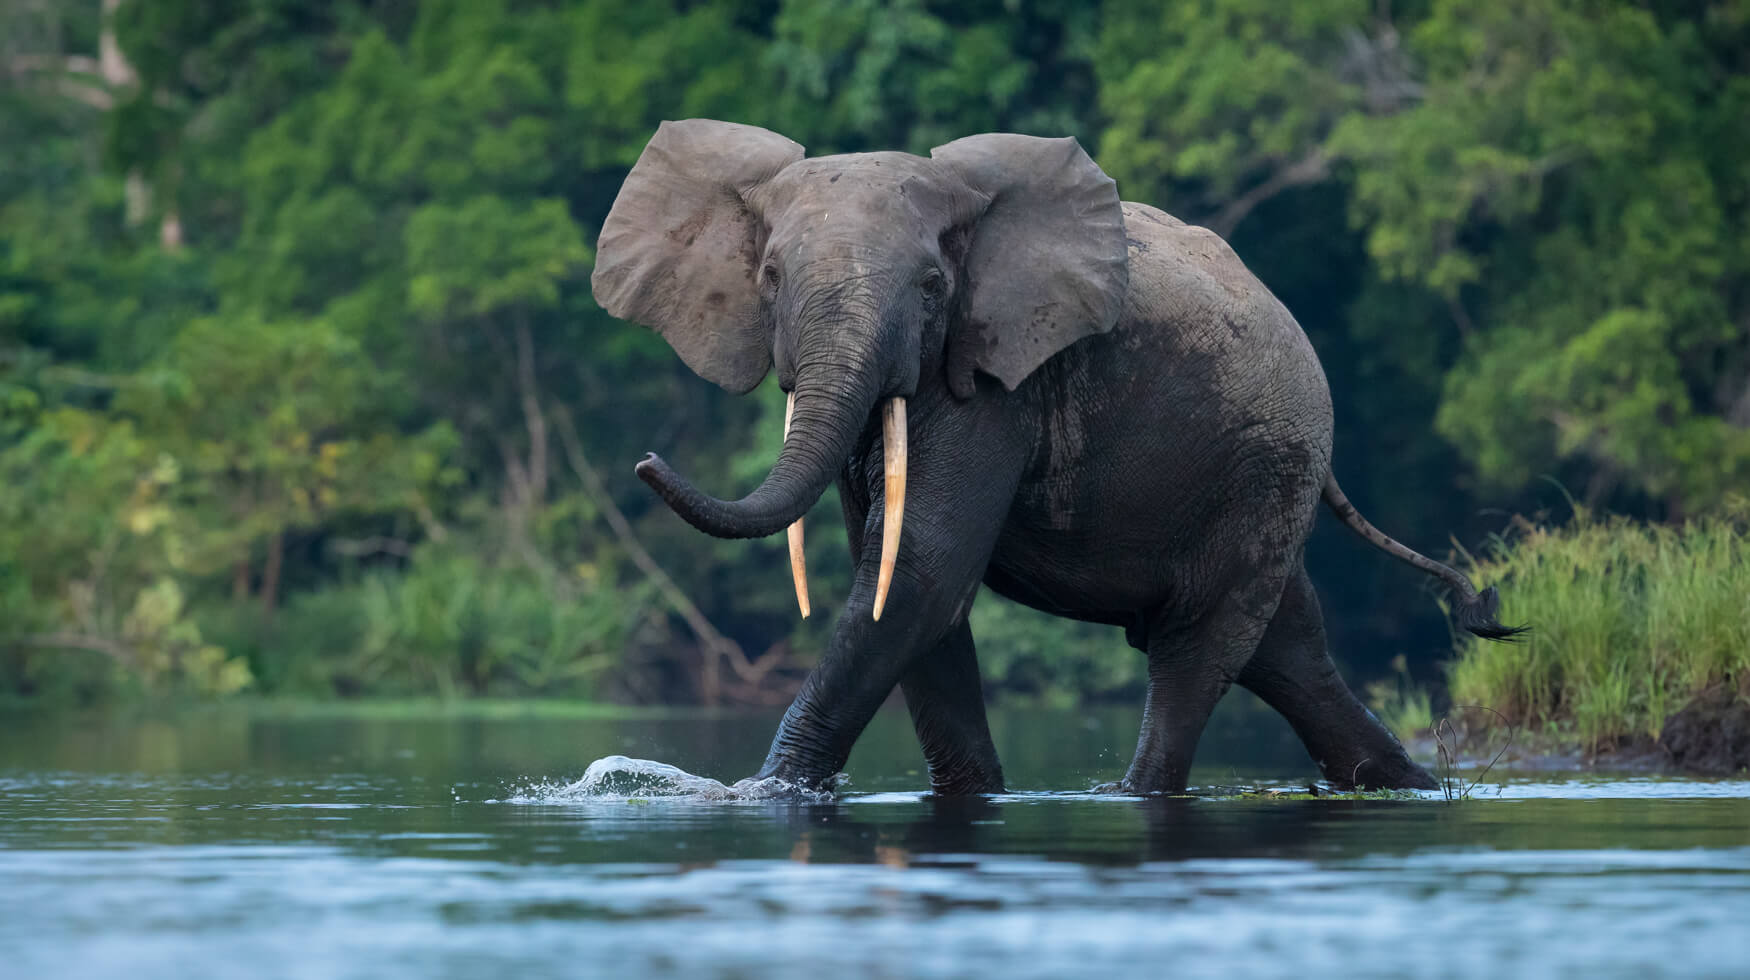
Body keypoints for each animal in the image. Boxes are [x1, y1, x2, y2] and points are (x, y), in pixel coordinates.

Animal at [591, 119, 1523, 796]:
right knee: (1288, 652)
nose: (643, 464)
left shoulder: (997, 382)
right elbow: (907, 589)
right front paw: (975, 797)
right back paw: (1408, 788)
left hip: (1269, 464)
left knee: (1195, 650)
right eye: (771, 277)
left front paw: (764, 795)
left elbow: (918, 572)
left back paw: (1133, 795)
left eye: (932, 287)